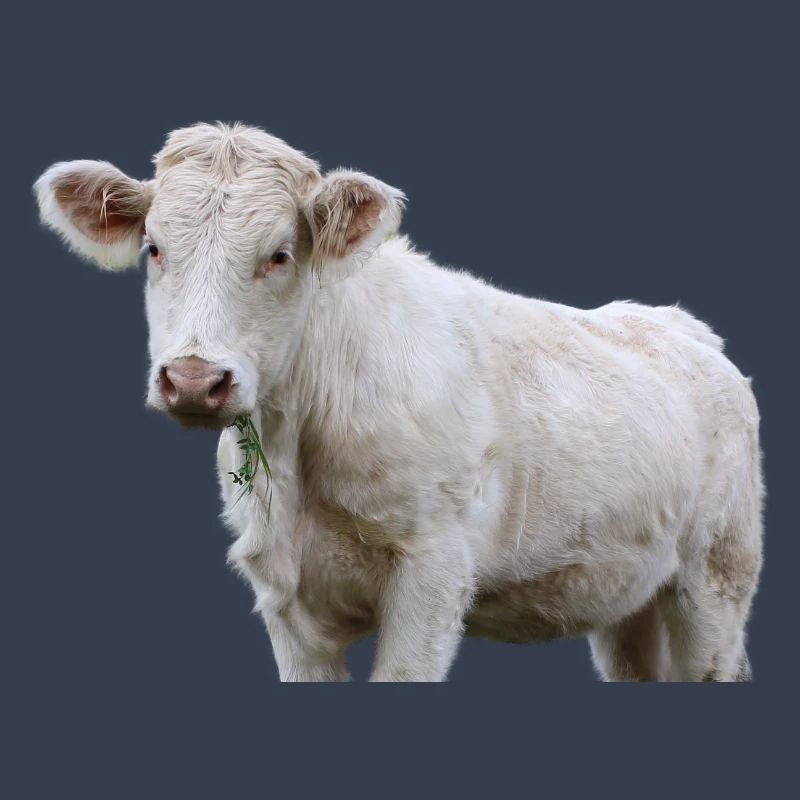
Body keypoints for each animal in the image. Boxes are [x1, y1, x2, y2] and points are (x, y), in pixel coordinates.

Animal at [34, 123, 763, 681]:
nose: (192, 378)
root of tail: (676, 323)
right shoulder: (286, 600)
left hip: (715, 577)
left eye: (280, 254)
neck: (299, 456)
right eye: (154, 248)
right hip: (623, 596)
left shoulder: (432, 572)